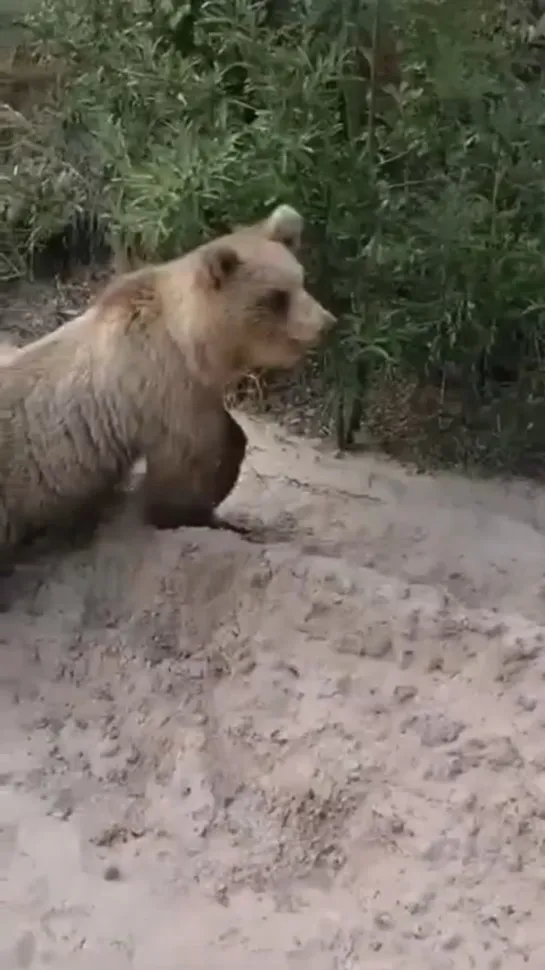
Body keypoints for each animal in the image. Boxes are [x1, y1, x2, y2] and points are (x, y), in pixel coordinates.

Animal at [0, 202, 336, 552]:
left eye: (300, 280)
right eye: (276, 297)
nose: (327, 323)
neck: (191, 344)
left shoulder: (192, 389)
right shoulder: (162, 386)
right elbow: (191, 461)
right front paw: (195, 515)